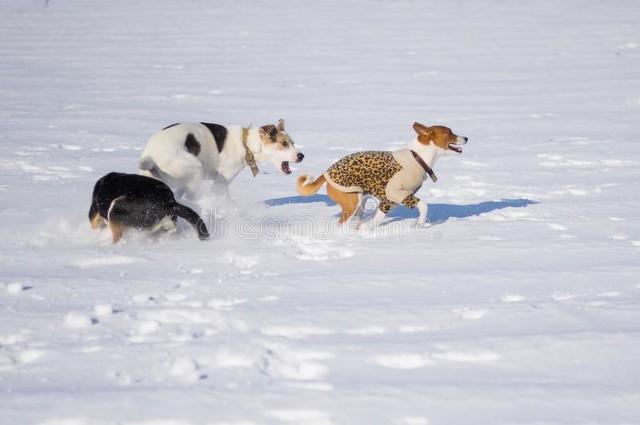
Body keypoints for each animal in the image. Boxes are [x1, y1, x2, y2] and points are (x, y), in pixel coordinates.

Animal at [139, 118, 304, 198]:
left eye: (292, 142)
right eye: (284, 143)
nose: (301, 156)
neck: (246, 143)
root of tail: (152, 156)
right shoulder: (220, 184)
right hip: (194, 170)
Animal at [298, 122, 468, 227]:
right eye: (449, 132)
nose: (466, 137)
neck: (417, 157)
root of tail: (326, 173)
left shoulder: (390, 201)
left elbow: (377, 219)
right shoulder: (394, 193)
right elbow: (424, 206)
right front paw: (419, 224)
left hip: (359, 204)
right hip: (352, 203)